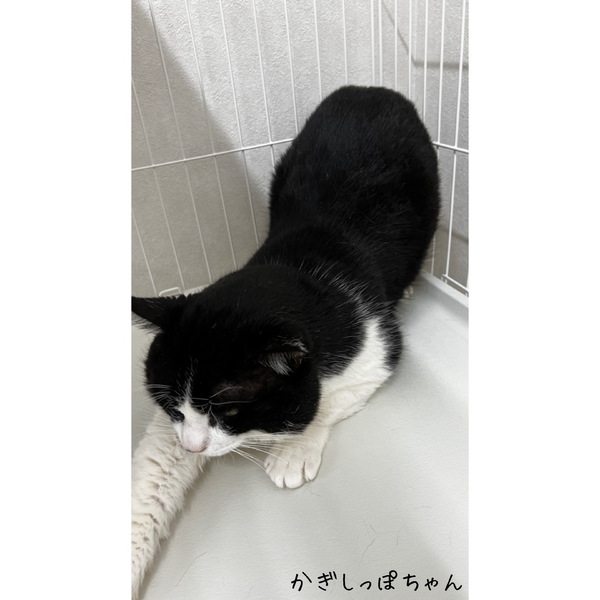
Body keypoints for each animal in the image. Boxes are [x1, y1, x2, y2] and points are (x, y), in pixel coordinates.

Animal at [131, 85, 440, 597]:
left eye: (230, 411)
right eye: (172, 407)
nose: (193, 448)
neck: (299, 271)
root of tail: (370, 88)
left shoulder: (378, 348)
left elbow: (328, 401)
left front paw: (293, 451)